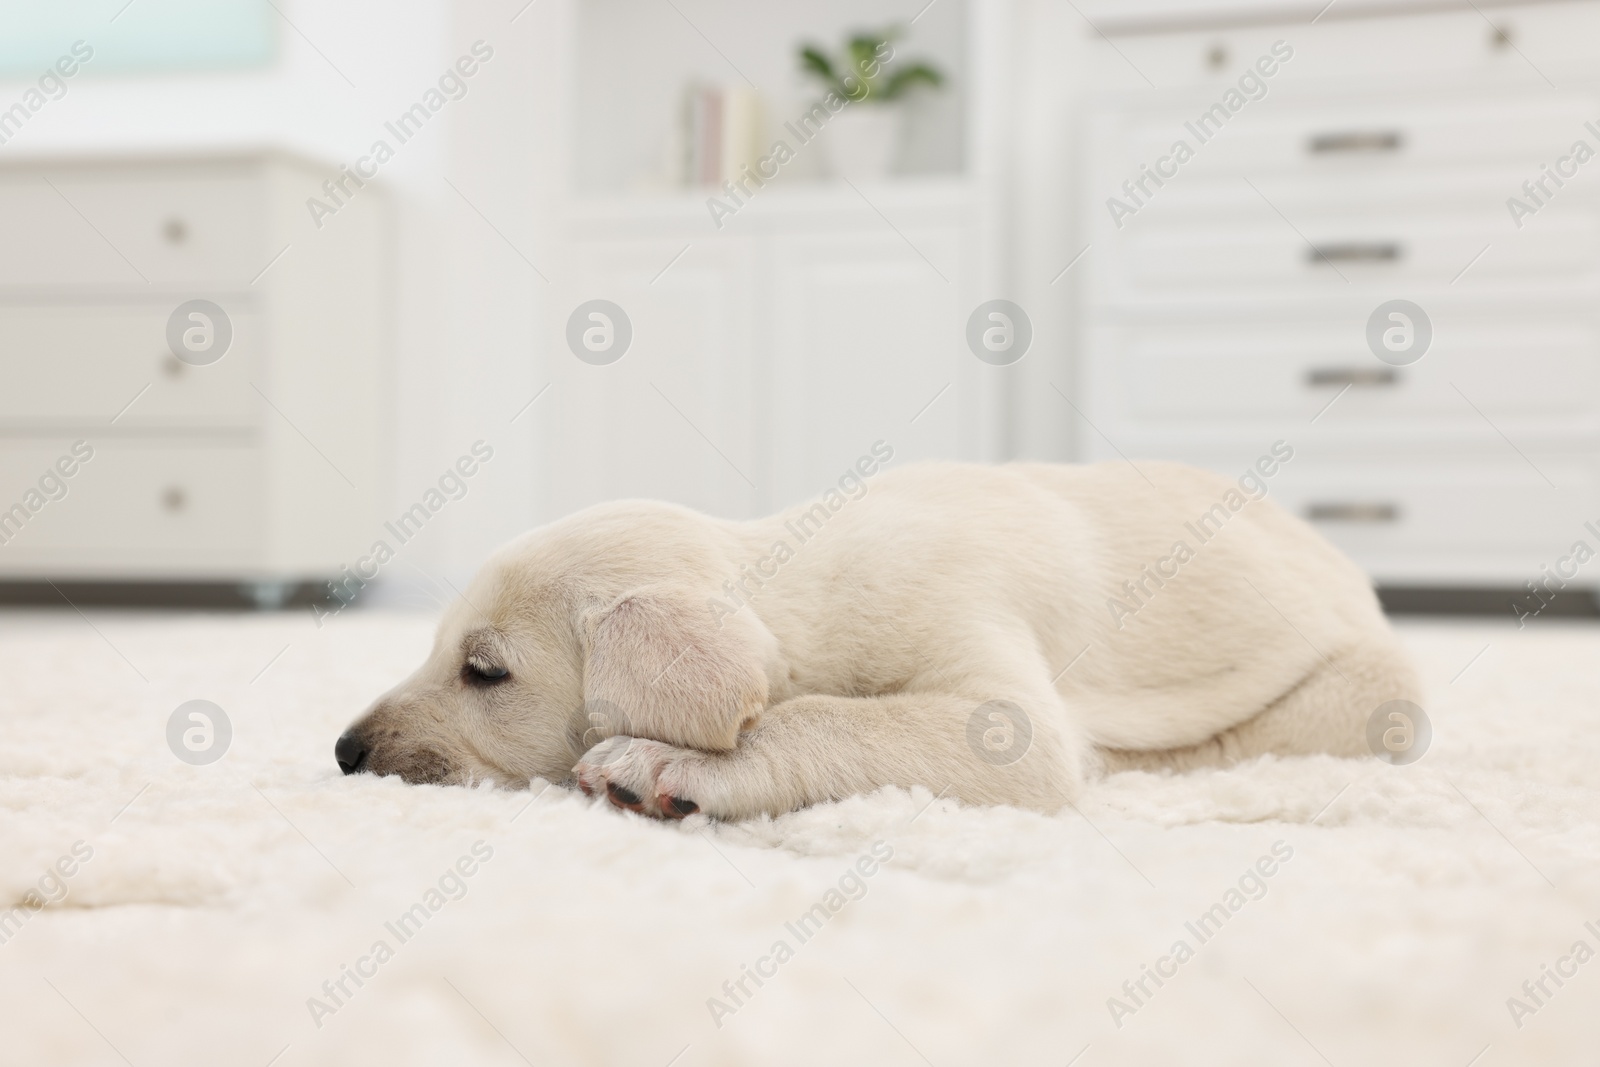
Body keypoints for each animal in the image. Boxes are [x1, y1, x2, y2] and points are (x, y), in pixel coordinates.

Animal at [334, 451, 1414, 819]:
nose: (344, 751)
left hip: (1368, 687)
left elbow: (831, 716)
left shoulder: (989, 683)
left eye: (484, 670)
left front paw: (664, 765)